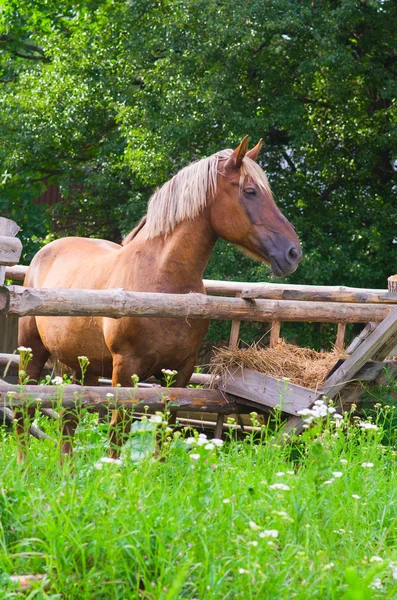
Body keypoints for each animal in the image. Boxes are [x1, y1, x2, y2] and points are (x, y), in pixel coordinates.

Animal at [16, 137, 300, 450]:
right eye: (250, 191)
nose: (293, 252)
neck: (163, 283)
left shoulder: (180, 372)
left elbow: (165, 433)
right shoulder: (125, 369)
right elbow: (118, 434)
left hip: (80, 366)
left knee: (68, 421)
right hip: (32, 354)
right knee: (23, 415)